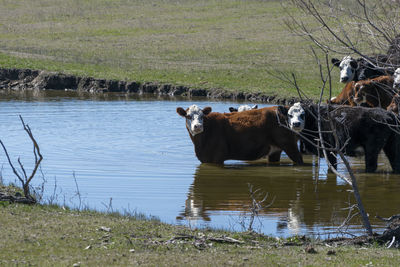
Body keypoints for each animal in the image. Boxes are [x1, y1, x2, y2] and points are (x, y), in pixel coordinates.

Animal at [176, 105, 304, 165]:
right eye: (188, 116)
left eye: (202, 116)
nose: (198, 126)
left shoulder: (217, 158)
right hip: (275, 149)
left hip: (289, 145)